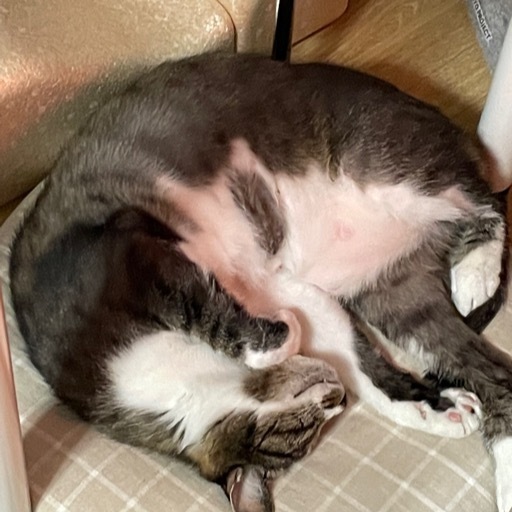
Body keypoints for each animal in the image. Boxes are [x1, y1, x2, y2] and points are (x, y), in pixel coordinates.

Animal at [8, 53, 511, 512]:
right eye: (307, 425)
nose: (337, 399)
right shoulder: (289, 290)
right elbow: (361, 365)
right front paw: (432, 409)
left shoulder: (128, 251)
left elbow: (203, 307)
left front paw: (275, 339)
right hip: (394, 291)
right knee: (492, 371)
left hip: (387, 169)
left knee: (487, 202)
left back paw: (475, 272)